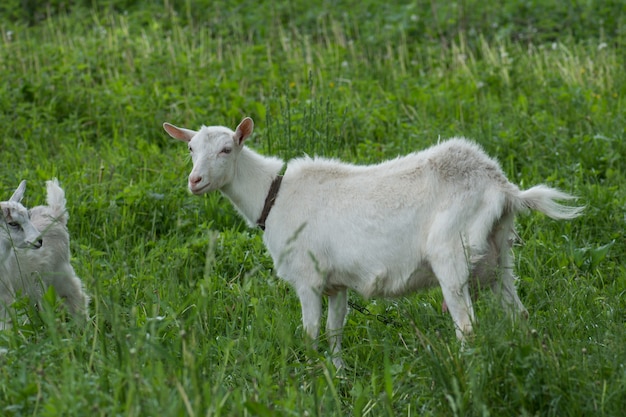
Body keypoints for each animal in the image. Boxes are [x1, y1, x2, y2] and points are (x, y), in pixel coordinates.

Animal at [0, 177, 89, 326]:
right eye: (12, 223)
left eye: (28, 217)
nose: (39, 241)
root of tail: (55, 214)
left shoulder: (5, 297)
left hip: (61, 270)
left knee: (76, 296)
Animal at [162, 116, 580, 364]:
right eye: (190, 149)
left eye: (226, 149)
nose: (195, 181)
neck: (273, 194)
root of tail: (502, 187)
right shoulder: (336, 283)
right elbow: (334, 331)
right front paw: (336, 373)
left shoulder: (307, 278)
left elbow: (310, 332)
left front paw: (310, 377)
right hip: (499, 255)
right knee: (518, 313)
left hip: (452, 252)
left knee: (467, 326)